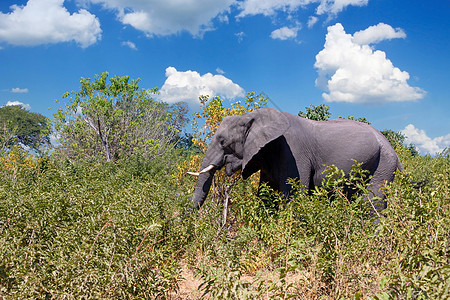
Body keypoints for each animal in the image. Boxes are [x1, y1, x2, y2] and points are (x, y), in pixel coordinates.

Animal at [190, 106, 404, 214]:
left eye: (223, 141)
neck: (252, 116)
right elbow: (265, 195)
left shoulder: (293, 152)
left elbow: (293, 194)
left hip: (383, 164)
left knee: (372, 201)